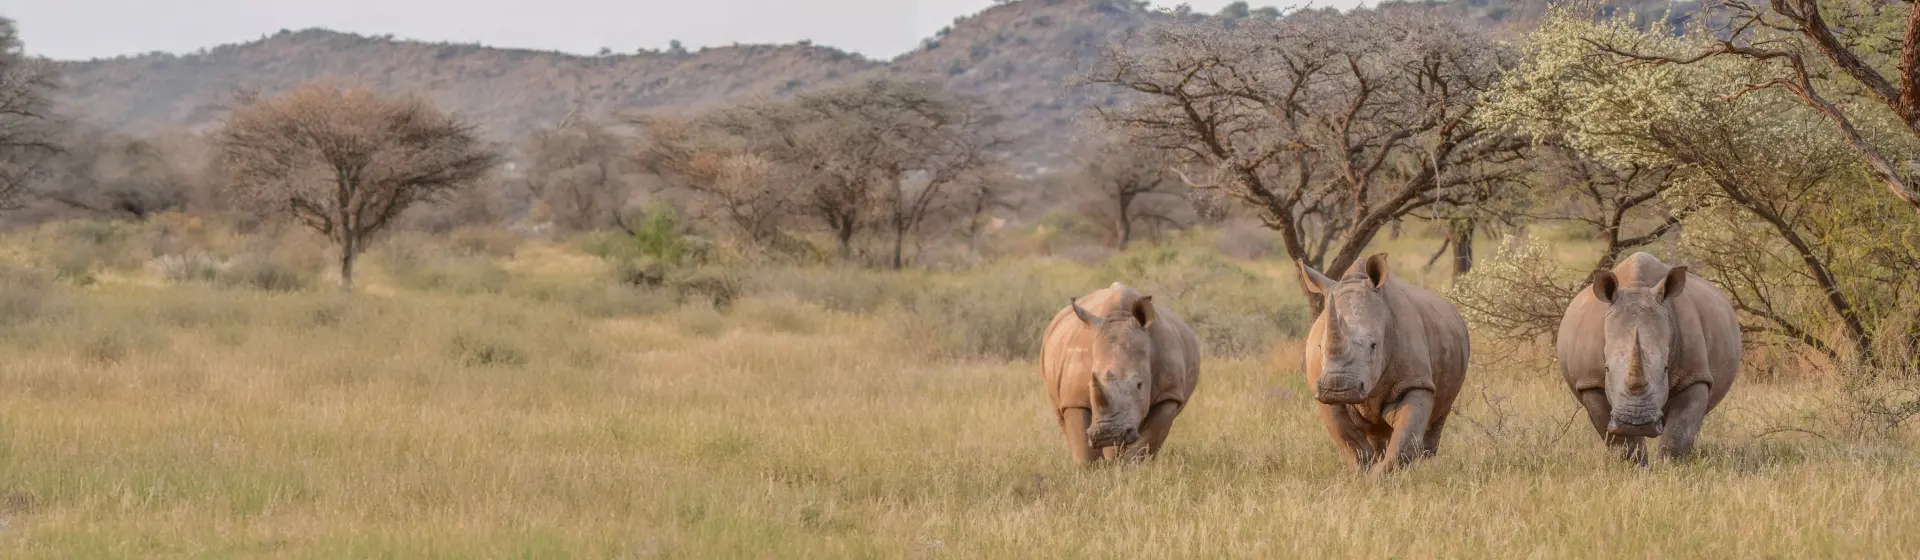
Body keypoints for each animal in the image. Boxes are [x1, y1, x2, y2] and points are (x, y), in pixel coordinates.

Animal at [1040, 282, 1201, 464]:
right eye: (1089, 385)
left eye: (1139, 385)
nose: (1108, 433)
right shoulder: (1074, 397)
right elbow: (1083, 447)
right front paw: (1092, 469)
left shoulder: (1168, 394)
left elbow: (1147, 442)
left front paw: (1132, 467)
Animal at [1299, 254, 1470, 474]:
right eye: (1320, 347)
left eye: (1373, 346)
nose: (1338, 388)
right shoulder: (1321, 389)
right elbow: (1348, 440)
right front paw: (1362, 473)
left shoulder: (1416, 381)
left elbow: (1405, 438)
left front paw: (1379, 475)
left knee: (1438, 416)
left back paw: (1428, 467)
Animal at [1556, 252, 1741, 465]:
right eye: (1606, 369)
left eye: (1666, 368)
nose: (1636, 422)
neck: (1637, 286)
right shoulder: (1590, 381)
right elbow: (1621, 442)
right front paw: (1635, 466)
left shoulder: (1694, 375)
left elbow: (1679, 432)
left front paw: (1669, 467)